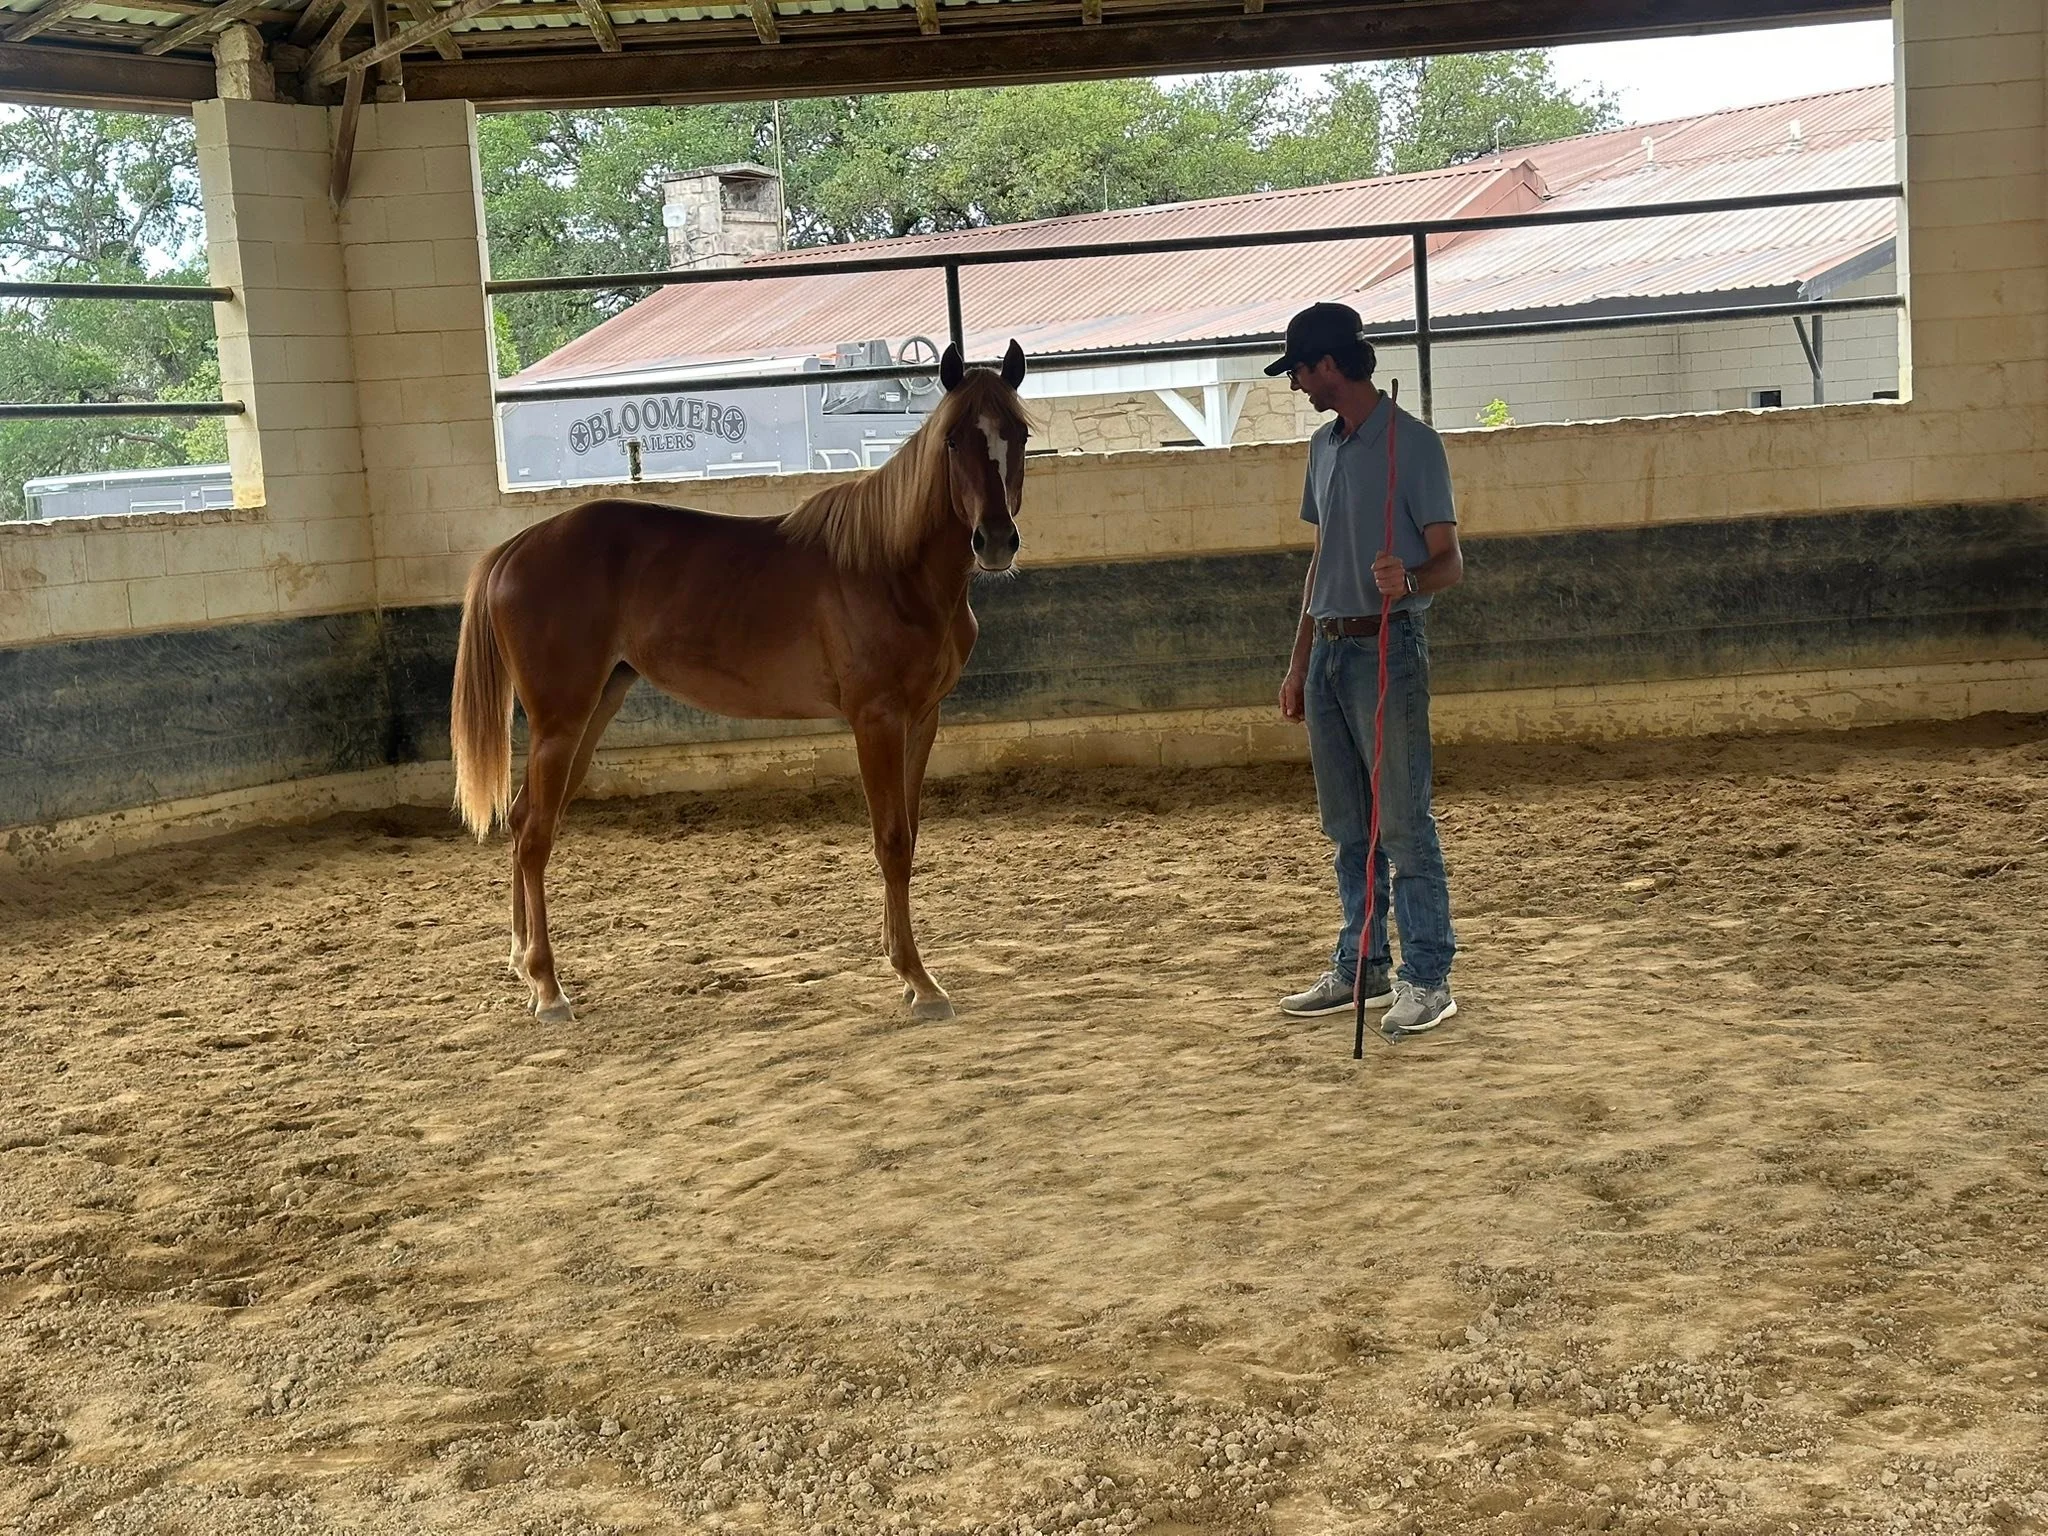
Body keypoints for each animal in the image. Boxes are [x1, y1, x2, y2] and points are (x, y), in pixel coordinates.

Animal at [450, 341, 1031, 1026]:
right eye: (953, 440)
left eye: (1018, 433)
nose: (995, 541)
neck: (893, 567)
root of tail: (514, 549)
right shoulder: (877, 721)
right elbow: (889, 840)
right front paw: (919, 979)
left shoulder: (923, 719)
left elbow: (908, 838)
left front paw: (906, 969)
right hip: (560, 724)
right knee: (536, 836)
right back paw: (547, 988)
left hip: (591, 714)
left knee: (521, 822)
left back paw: (522, 964)